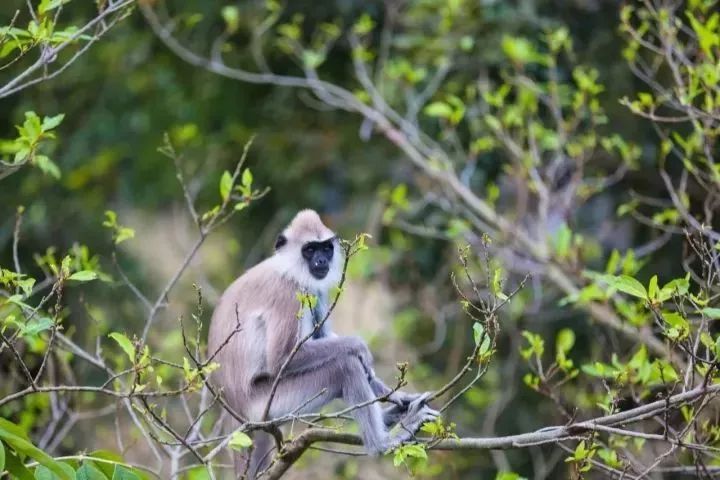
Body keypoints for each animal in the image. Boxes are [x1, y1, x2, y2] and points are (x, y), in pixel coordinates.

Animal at [205, 209, 436, 476]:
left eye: (326, 248)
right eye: (310, 250)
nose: (321, 261)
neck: (289, 269)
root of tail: (234, 411)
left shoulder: (314, 290)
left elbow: (324, 337)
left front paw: (393, 394)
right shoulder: (288, 294)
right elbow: (283, 358)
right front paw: (360, 348)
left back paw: (392, 416)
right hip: (266, 405)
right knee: (344, 367)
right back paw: (382, 443)